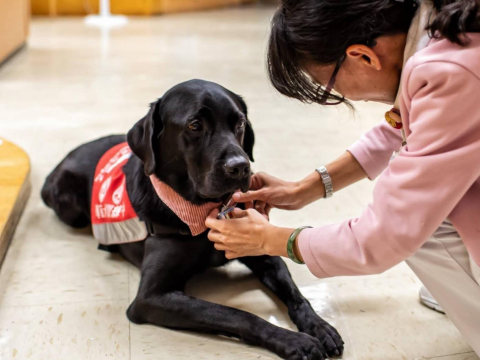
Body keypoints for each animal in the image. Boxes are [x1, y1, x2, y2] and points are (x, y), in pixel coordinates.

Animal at [40, 80, 342, 358]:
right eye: (195, 125)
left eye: (240, 123)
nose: (240, 167)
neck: (201, 210)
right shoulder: (149, 298)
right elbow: (233, 314)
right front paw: (294, 341)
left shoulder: (263, 251)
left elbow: (295, 294)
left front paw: (319, 325)